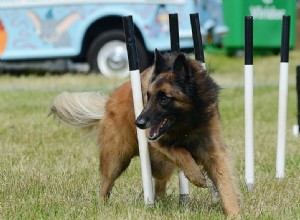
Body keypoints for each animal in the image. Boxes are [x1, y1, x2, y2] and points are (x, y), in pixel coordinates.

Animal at [50, 50, 240, 218]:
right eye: (148, 96)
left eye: (164, 98)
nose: (139, 123)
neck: (186, 123)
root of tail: (108, 102)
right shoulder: (157, 142)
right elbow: (180, 151)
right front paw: (196, 176)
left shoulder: (214, 151)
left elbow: (225, 183)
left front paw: (234, 213)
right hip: (116, 159)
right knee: (106, 184)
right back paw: (102, 207)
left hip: (161, 166)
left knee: (159, 186)